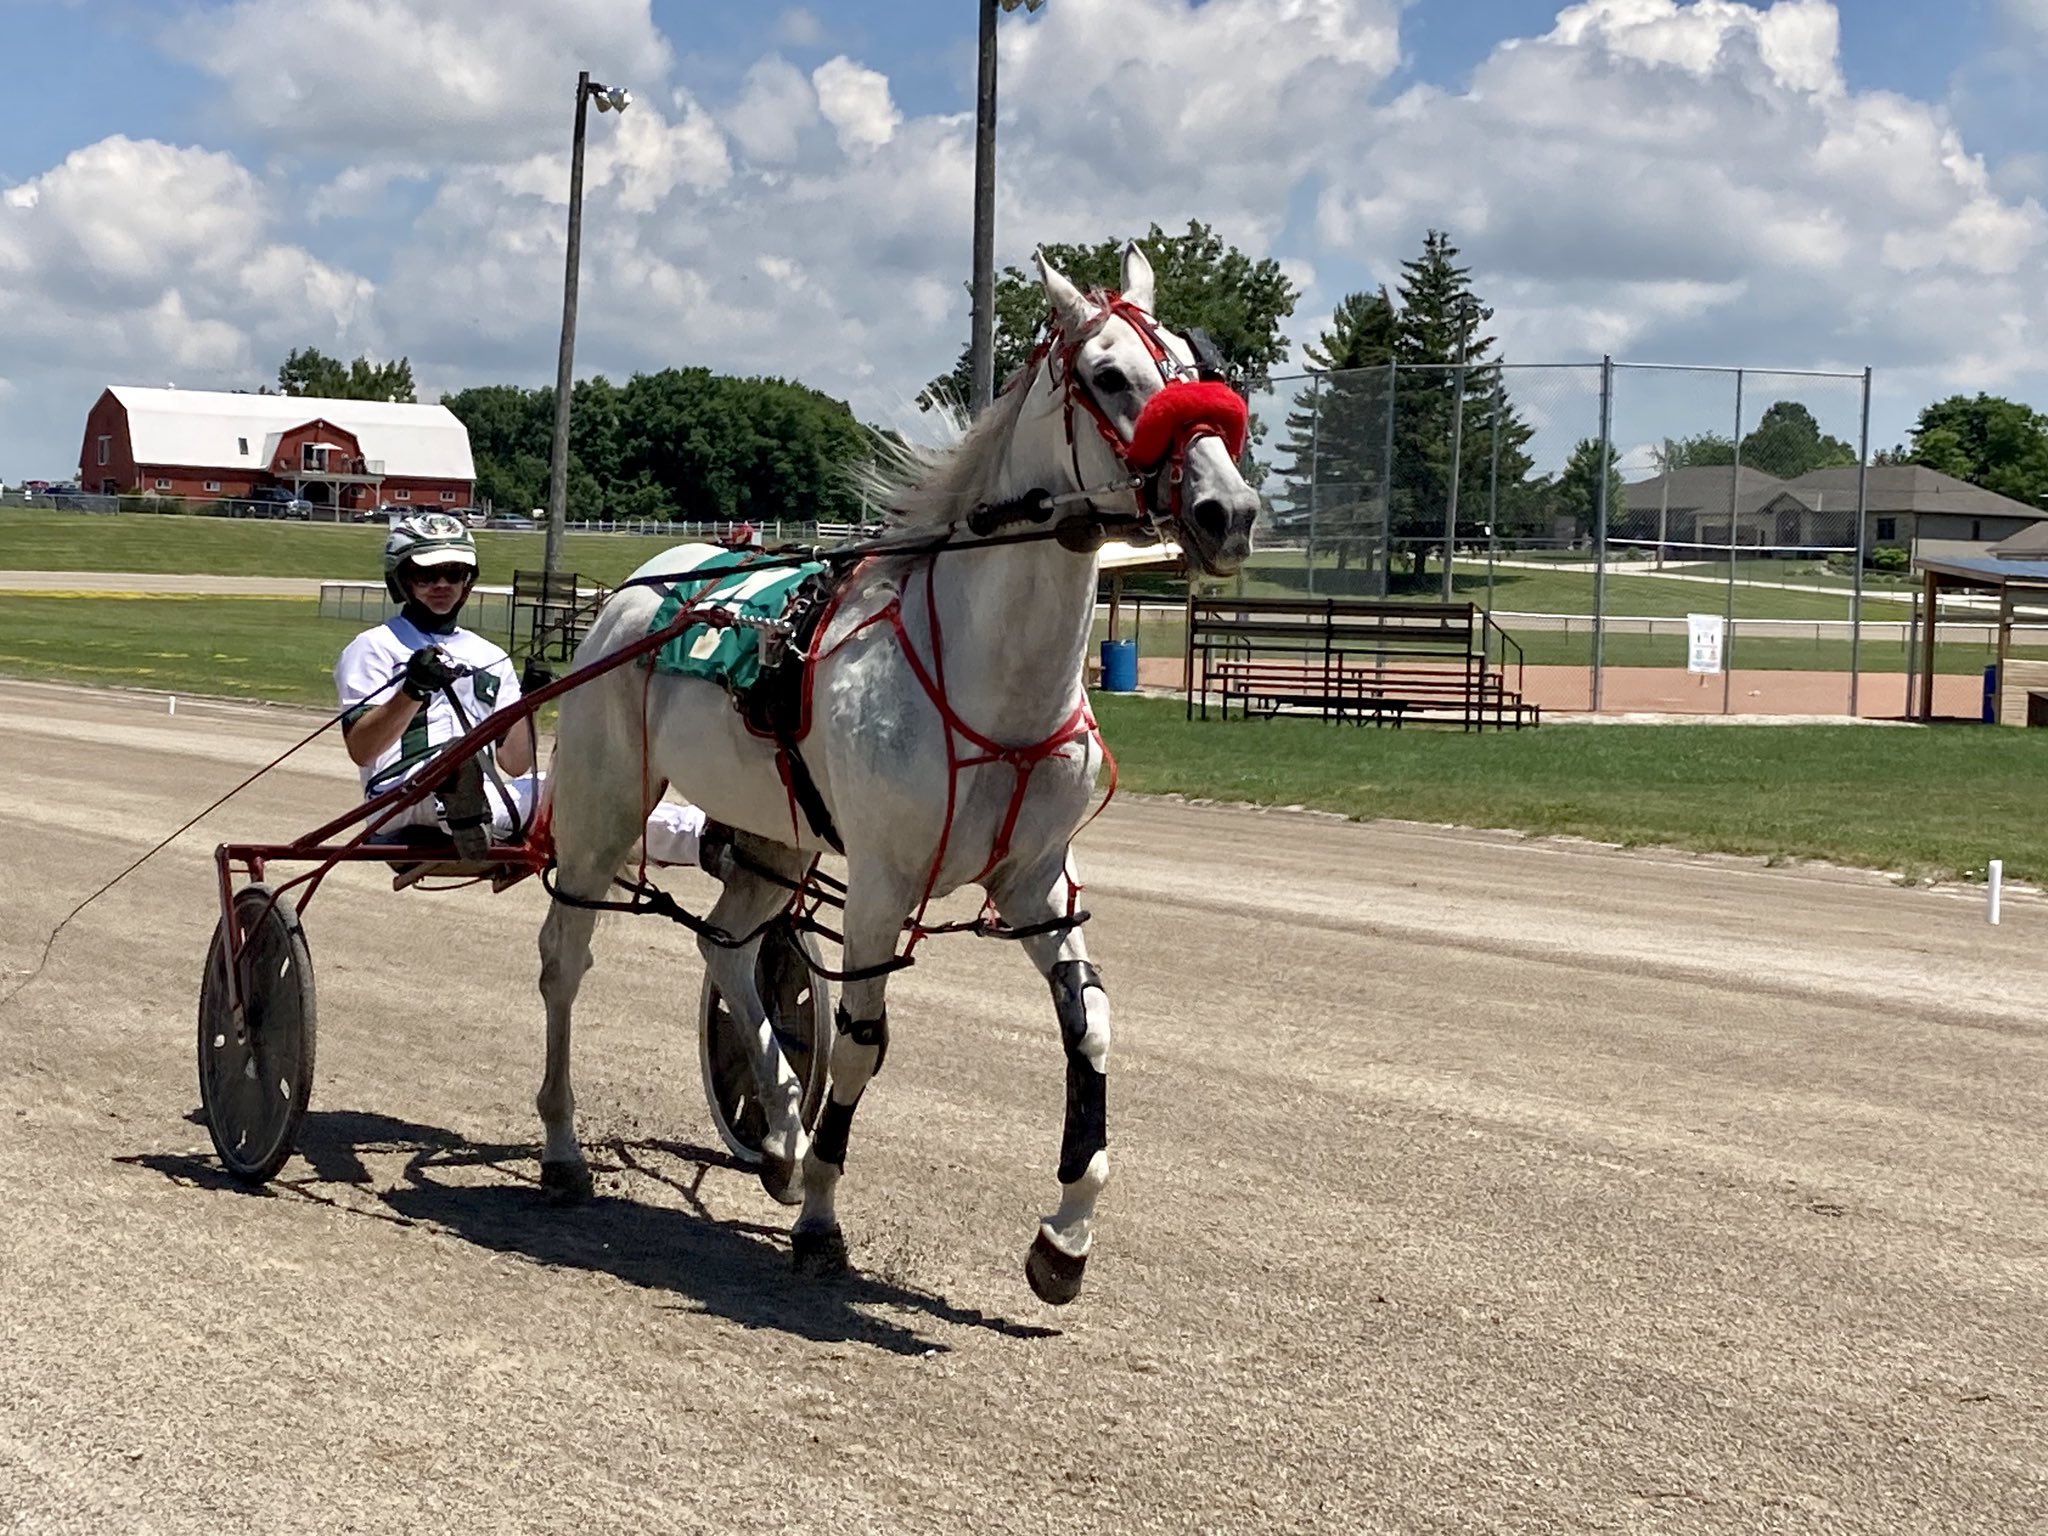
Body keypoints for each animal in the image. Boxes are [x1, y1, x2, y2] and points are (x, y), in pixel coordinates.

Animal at [535, 243, 1258, 1304]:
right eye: (1111, 376)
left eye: (1201, 366)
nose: (1227, 510)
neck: (986, 675)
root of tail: (647, 584)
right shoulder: (880, 884)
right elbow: (862, 1043)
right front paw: (824, 1220)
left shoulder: (1039, 881)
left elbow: (1090, 1025)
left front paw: (1065, 1236)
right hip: (601, 808)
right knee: (566, 958)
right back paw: (563, 1147)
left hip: (777, 838)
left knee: (729, 947)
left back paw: (780, 1134)